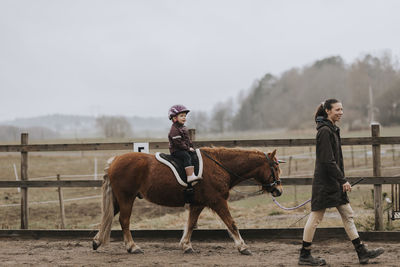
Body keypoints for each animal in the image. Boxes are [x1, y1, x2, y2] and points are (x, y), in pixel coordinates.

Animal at [92, 148, 282, 256]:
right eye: (275, 167)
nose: (278, 190)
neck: (220, 166)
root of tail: (115, 160)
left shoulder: (198, 204)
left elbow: (191, 224)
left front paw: (185, 246)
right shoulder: (218, 201)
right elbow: (231, 224)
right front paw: (243, 247)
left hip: (119, 198)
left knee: (107, 218)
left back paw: (97, 241)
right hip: (126, 197)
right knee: (124, 220)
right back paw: (132, 247)